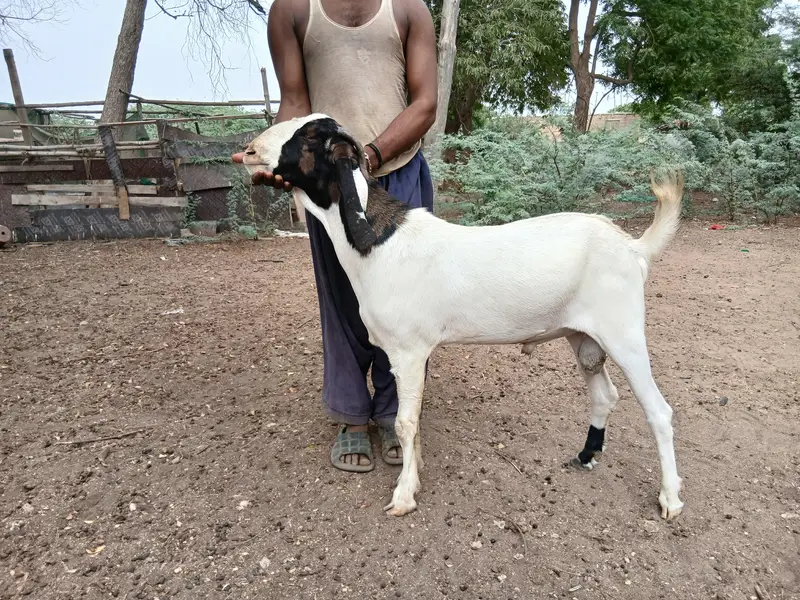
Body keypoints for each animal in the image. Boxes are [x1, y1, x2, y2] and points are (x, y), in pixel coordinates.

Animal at [234, 114, 685, 520]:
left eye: (311, 136)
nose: (251, 151)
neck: (381, 242)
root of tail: (634, 247)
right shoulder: (408, 352)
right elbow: (411, 420)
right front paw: (414, 476)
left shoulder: (408, 351)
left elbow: (405, 421)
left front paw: (403, 496)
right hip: (582, 334)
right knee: (604, 394)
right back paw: (587, 454)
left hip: (623, 330)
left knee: (659, 411)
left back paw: (670, 499)